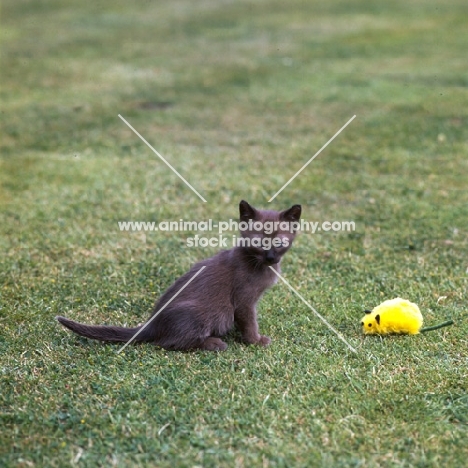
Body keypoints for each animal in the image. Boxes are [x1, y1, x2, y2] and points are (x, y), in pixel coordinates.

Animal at [56, 200, 302, 352]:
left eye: (279, 242)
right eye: (259, 241)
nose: (271, 256)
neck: (259, 265)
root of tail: (151, 323)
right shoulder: (243, 302)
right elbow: (250, 323)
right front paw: (256, 341)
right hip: (201, 313)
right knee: (168, 343)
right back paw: (214, 343)